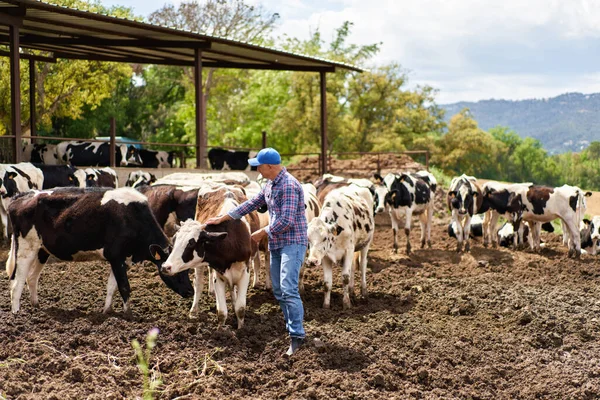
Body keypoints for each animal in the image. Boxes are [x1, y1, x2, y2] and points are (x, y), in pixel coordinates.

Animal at [5, 188, 193, 316]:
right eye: (170, 269)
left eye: (187, 268)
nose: (191, 291)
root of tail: (21, 197)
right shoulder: (115, 256)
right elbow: (124, 286)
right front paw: (129, 314)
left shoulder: (122, 258)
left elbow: (112, 286)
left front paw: (107, 311)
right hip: (26, 248)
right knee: (17, 281)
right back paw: (16, 313)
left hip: (42, 250)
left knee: (31, 278)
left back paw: (35, 305)